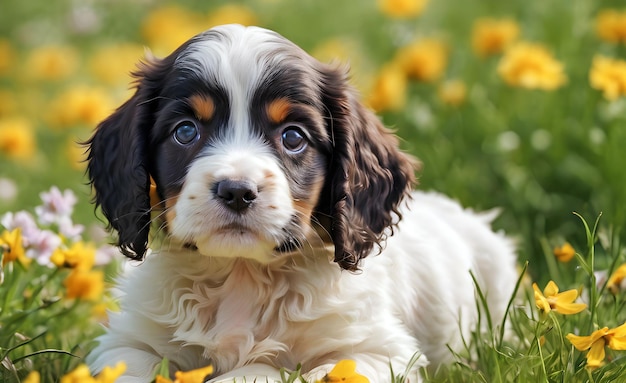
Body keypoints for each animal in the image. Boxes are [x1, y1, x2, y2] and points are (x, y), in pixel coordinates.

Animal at [85, 24, 516, 383]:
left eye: (293, 137)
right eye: (185, 131)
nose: (236, 190)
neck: (241, 275)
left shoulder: (378, 352)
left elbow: (280, 371)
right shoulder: (128, 344)